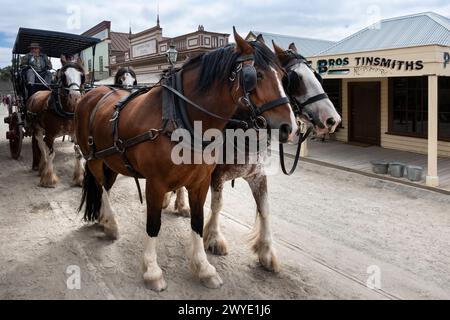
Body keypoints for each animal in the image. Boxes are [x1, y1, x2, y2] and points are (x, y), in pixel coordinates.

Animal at [26, 55, 86, 188]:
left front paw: (79, 178)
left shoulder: (76, 134)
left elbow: (78, 153)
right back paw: (42, 167)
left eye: (82, 75)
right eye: (63, 76)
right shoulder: (50, 135)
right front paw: (48, 179)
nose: (75, 97)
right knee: (41, 146)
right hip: (37, 129)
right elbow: (51, 154)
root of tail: (36, 93)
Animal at [74, 28, 298, 292]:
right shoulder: (156, 184)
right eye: (257, 75)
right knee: (100, 186)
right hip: (92, 158)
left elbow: (198, 221)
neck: (179, 117)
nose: (290, 128)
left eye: (284, 76)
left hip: (111, 160)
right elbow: (153, 224)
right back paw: (111, 223)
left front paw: (204, 268)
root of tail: (92, 92)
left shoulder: (200, 182)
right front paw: (152, 270)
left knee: (106, 186)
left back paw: (104, 219)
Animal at [171, 37, 342, 272]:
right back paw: (180, 205)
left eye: (317, 76)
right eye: (293, 79)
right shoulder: (215, 175)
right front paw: (214, 237)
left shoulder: (258, 175)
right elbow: (217, 204)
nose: (332, 119)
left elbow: (265, 208)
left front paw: (267, 251)